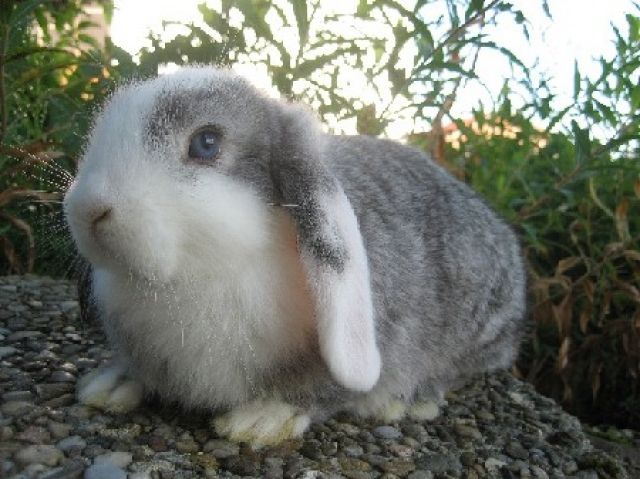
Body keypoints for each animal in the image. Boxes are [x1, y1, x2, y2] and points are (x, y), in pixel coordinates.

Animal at [64, 66, 527, 447]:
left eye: (206, 143)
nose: (88, 209)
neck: (206, 270)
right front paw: (109, 387)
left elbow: (320, 390)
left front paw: (262, 420)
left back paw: (405, 401)